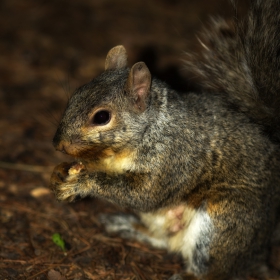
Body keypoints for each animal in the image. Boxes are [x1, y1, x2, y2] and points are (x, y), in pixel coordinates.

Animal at [49, 1, 280, 278]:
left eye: (102, 117)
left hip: (226, 220)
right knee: (163, 239)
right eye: (75, 94)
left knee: (217, 268)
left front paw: (82, 182)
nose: (58, 145)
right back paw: (127, 225)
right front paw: (60, 173)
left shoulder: (175, 157)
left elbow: (145, 194)